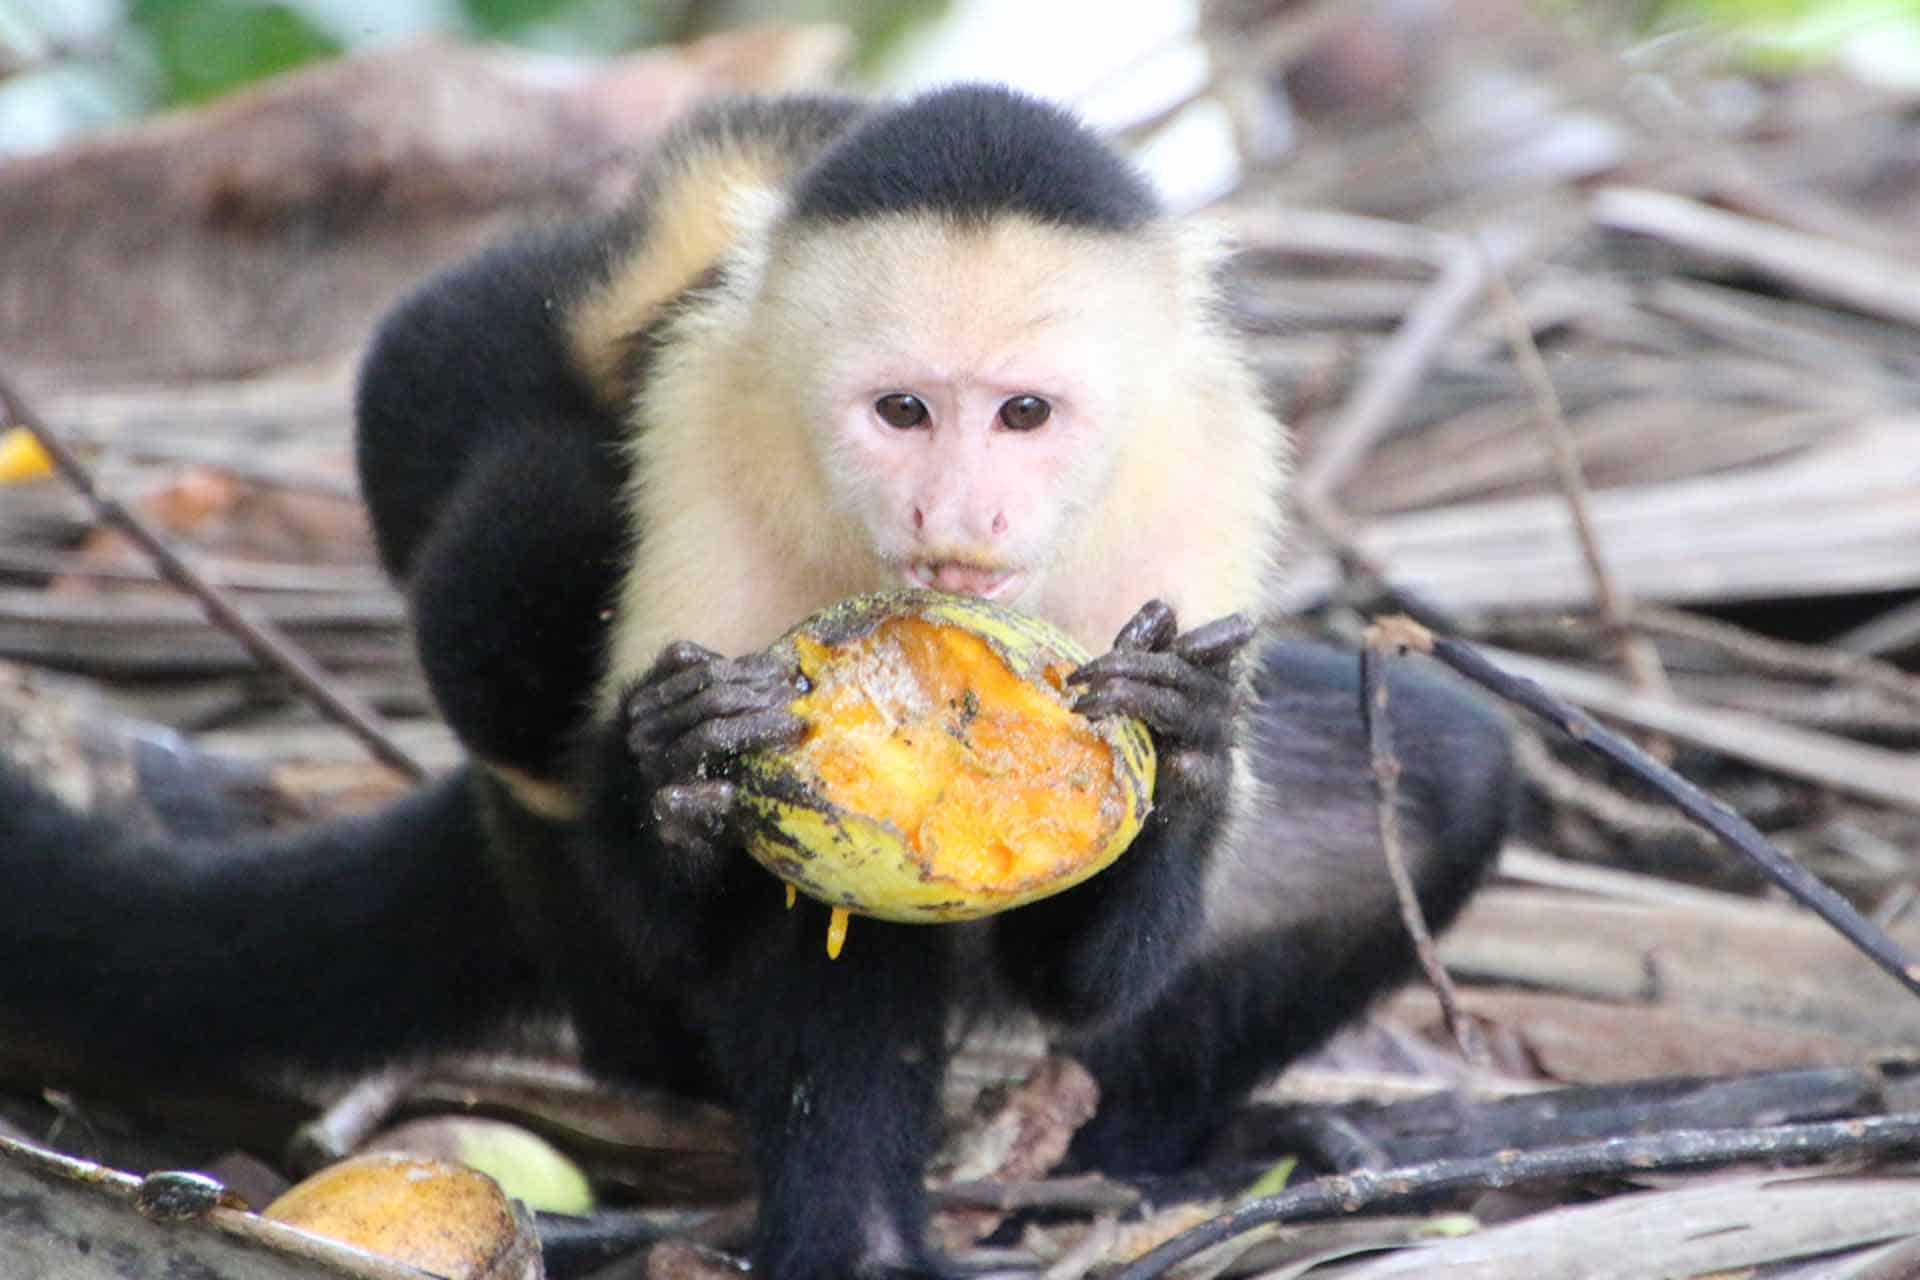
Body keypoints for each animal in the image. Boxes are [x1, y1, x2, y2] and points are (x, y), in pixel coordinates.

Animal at [0, 84, 1512, 1274]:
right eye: (903, 410)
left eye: (1024, 414)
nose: (955, 509)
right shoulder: (706, 427)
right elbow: (740, 908)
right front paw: (677, 767)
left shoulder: (1204, 469)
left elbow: (1095, 970)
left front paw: (1187, 744)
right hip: (611, 984)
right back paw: (866, 1236)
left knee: (1444, 770)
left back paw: (1141, 1156)